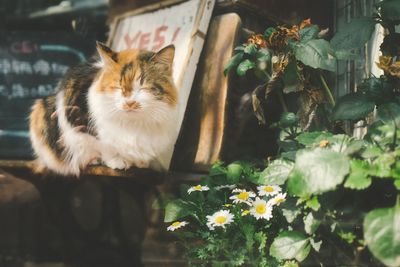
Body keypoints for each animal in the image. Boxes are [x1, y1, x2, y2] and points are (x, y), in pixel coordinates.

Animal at [28, 42, 177, 177]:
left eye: (142, 88)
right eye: (118, 87)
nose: (130, 103)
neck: (133, 122)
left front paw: (140, 163)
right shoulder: (82, 124)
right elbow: (104, 146)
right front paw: (117, 161)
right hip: (40, 111)